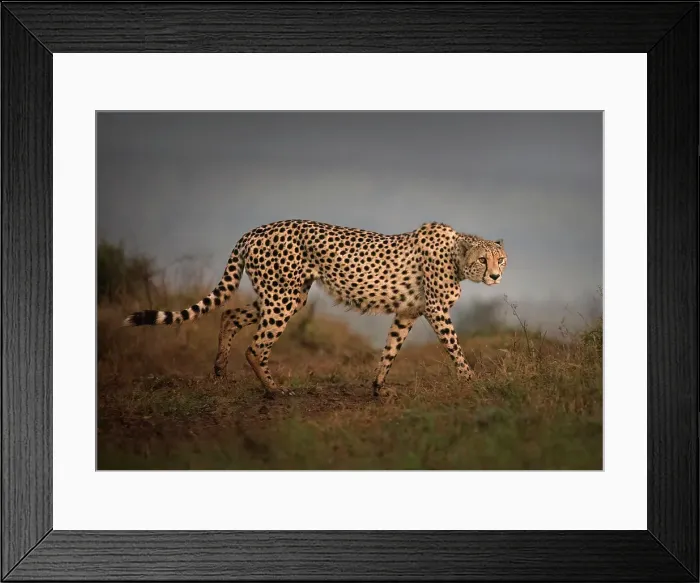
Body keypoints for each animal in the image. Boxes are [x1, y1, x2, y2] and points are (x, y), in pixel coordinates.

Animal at [123, 219, 507, 398]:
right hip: (283, 297)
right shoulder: (436, 311)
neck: (457, 256)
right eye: (482, 260)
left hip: (283, 295)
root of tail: (255, 230)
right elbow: (455, 347)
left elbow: (390, 350)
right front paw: (471, 380)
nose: (496, 275)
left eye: (500, 258)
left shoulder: (407, 313)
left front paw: (378, 387)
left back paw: (219, 368)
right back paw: (273, 390)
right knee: (256, 346)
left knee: (229, 314)